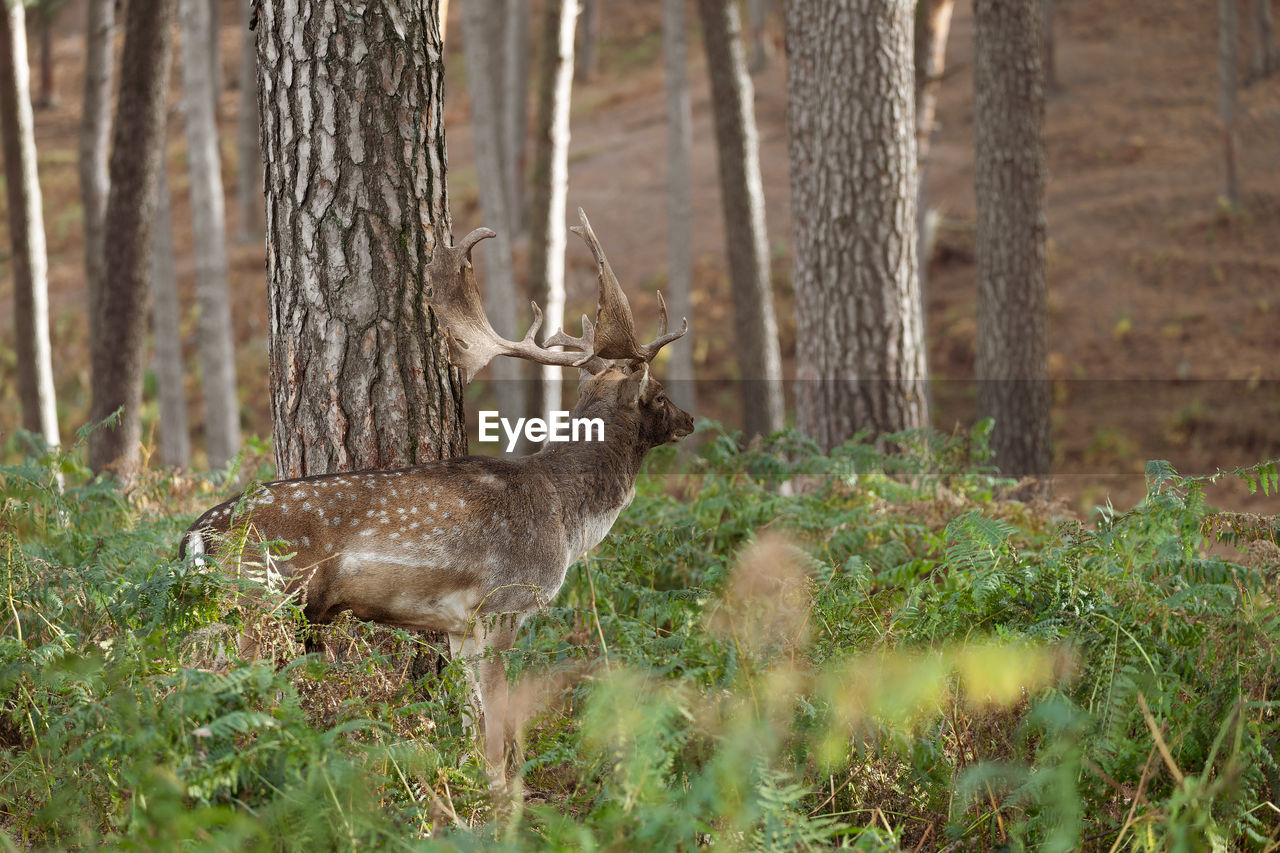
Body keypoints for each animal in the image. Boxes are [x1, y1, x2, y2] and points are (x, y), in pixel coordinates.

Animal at [183, 207, 691, 778]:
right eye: (659, 394)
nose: (690, 420)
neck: (567, 518)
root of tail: (197, 534)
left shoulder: (460, 626)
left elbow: (472, 721)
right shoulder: (503, 603)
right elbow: (499, 726)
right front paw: (504, 791)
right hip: (257, 598)